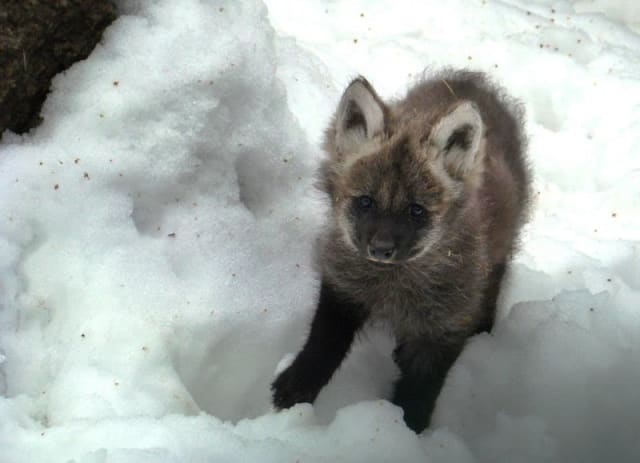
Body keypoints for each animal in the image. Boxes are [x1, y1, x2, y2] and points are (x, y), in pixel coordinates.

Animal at [272, 70, 531, 433]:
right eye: (365, 202)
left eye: (416, 210)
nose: (381, 250)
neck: (393, 287)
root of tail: (470, 79)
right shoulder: (343, 287)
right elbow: (322, 344)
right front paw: (296, 387)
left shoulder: (446, 326)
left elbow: (420, 391)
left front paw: (406, 431)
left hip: (500, 252)